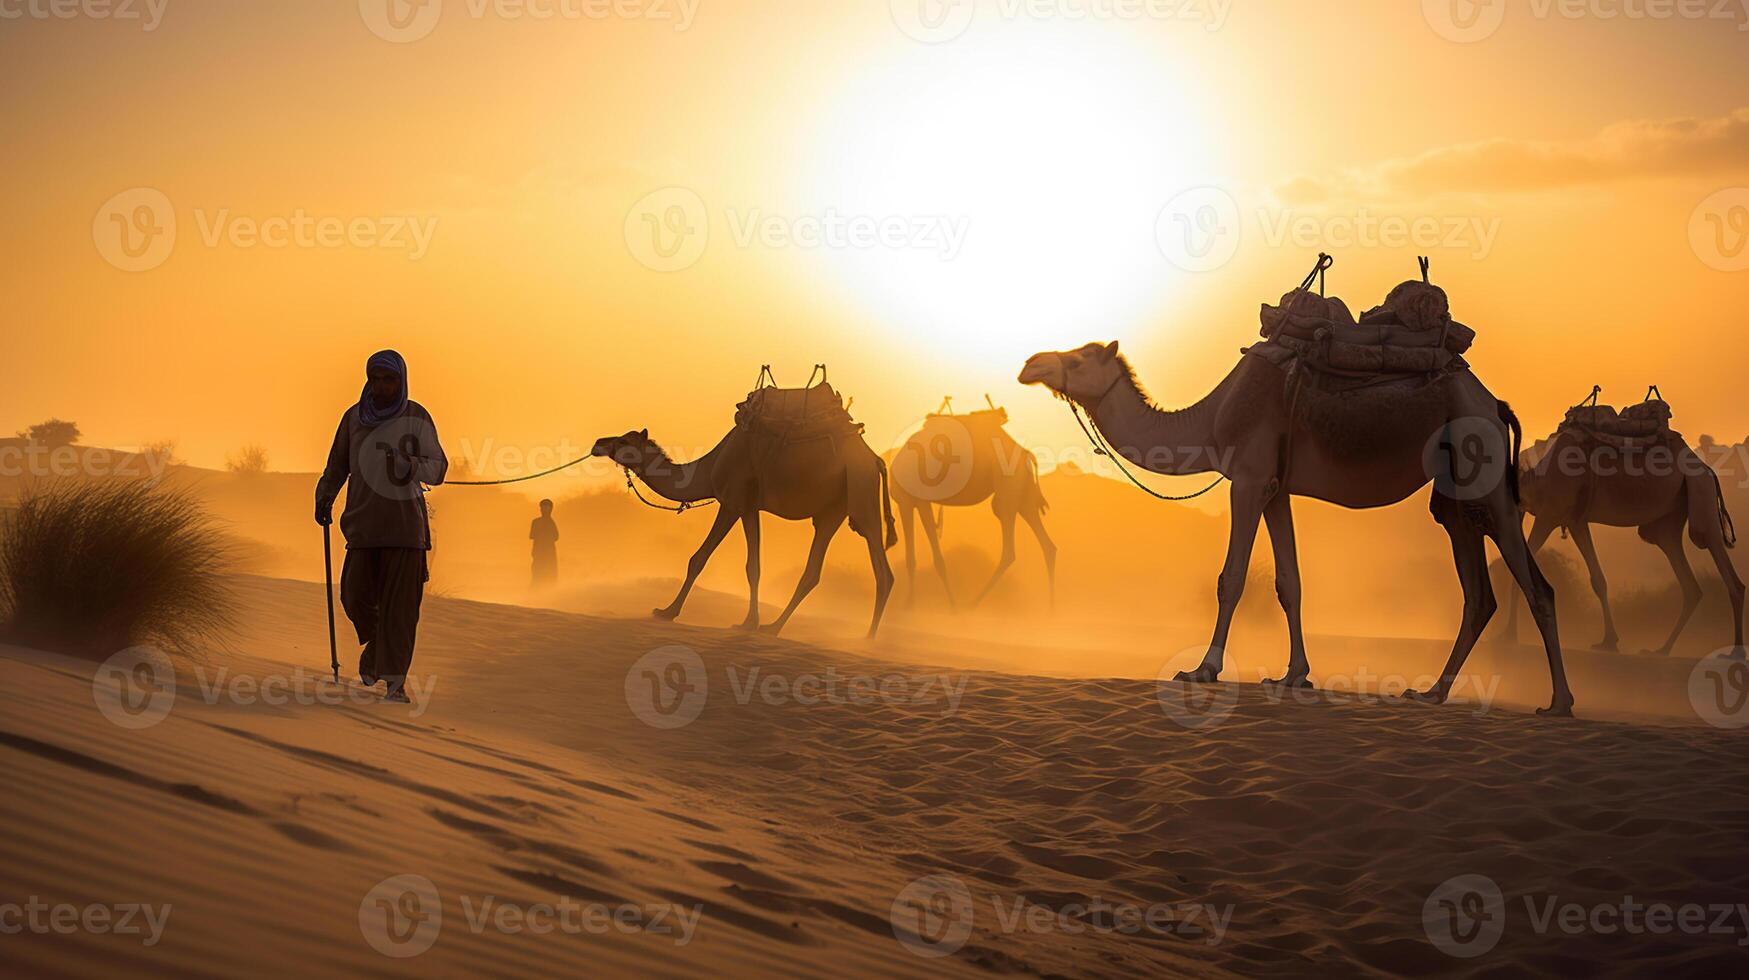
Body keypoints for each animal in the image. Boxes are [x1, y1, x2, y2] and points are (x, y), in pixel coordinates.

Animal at [591, 425, 895, 640]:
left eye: (624, 441)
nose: (598, 443)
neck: (709, 467)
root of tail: (875, 461)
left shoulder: (731, 501)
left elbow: (698, 559)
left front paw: (666, 612)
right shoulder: (749, 507)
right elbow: (754, 565)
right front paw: (749, 622)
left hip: (861, 493)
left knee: (882, 568)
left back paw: (868, 638)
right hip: (833, 510)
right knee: (814, 571)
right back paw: (773, 626)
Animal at [888, 402, 1049, 609]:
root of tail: (1026, 454)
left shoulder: (917, 501)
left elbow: (937, 559)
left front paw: (951, 606)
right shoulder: (907, 503)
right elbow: (911, 559)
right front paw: (910, 605)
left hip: (1007, 494)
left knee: (1009, 551)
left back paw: (973, 604)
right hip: (1023, 497)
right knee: (1048, 546)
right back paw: (1052, 609)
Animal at [1021, 341, 1581, 717]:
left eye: (1076, 360)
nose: (1030, 365)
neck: (1210, 421)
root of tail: (1495, 404)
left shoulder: (1247, 479)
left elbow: (1232, 578)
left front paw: (1203, 668)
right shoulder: (1276, 488)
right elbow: (1288, 581)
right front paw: (1295, 675)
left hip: (1483, 471)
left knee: (1537, 588)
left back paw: (1559, 702)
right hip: (1456, 498)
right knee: (1479, 595)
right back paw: (1431, 692)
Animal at [1511, 413, 1742, 658]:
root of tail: (1708, 469)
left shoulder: (1550, 514)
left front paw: (1508, 635)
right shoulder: (1576, 521)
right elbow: (1598, 580)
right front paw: (1609, 641)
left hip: (1702, 495)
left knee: (1726, 570)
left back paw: (1735, 652)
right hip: (1668, 524)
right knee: (1689, 585)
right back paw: (1661, 649)